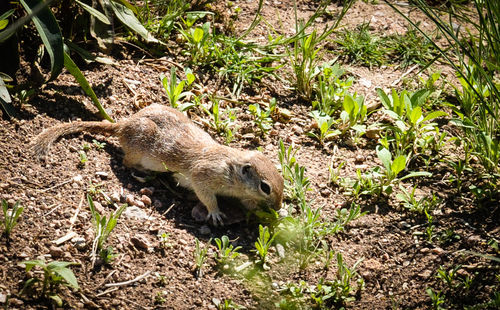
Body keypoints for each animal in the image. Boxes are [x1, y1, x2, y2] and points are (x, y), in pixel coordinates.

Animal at [34, 104, 286, 225]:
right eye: (265, 187)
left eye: (283, 181)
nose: (277, 206)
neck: (233, 170)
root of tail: (123, 125)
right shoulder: (206, 175)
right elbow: (206, 195)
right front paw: (215, 213)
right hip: (141, 150)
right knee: (125, 161)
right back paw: (143, 172)